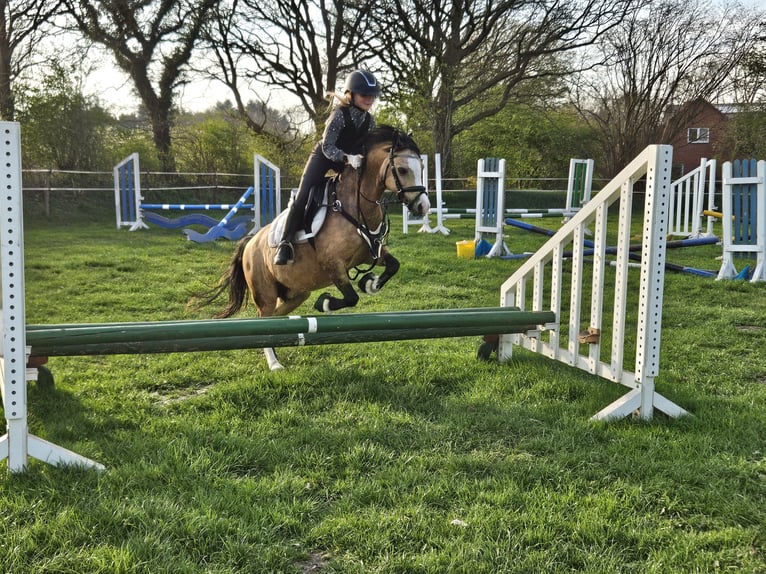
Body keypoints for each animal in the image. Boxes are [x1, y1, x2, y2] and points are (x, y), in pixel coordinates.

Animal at [200, 125, 430, 370]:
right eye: (403, 169)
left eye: (422, 167)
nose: (423, 206)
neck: (354, 206)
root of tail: (251, 241)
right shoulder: (333, 264)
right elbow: (351, 298)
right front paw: (325, 302)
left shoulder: (369, 255)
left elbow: (393, 265)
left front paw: (370, 283)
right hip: (265, 293)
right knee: (264, 317)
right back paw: (274, 363)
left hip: (296, 293)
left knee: (275, 318)